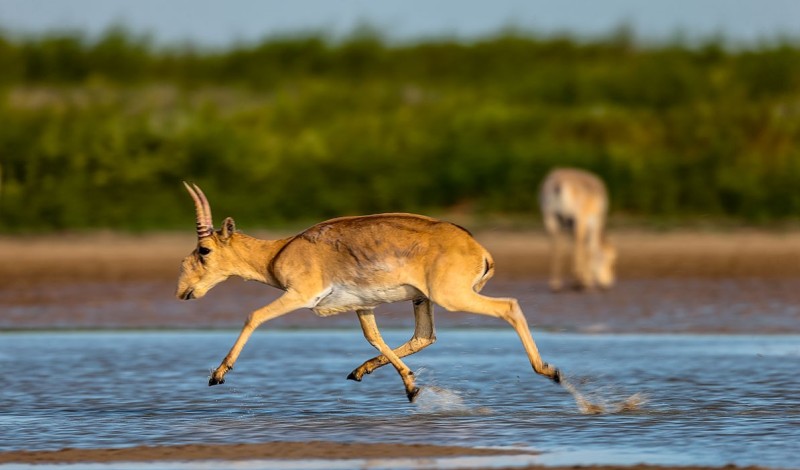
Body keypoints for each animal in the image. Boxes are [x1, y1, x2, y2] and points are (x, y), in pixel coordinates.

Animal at [177, 182, 564, 402]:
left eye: (204, 250)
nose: (183, 292)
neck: (278, 252)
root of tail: (478, 248)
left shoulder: (300, 295)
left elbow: (253, 315)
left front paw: (217, 375)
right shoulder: (363, 305)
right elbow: (374, 337)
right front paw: (408, 385)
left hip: (452, 297)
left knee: (509, 306)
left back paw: (549, 371)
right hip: (423, 299)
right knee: (424, 336)